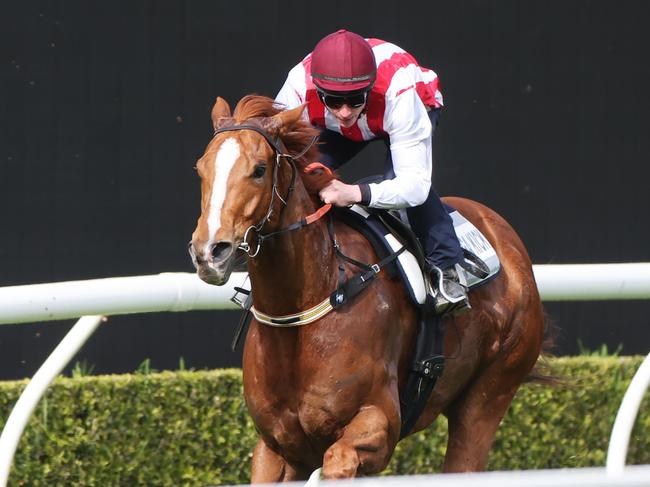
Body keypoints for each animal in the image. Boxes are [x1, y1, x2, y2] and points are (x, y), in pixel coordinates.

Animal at [187, 94, 540, 480]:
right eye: (201, 169)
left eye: (259, 169)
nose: (209, 252)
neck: (301, 309)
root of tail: (505, 236)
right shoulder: (277, 447)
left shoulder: (379, 425)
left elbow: (338, 461)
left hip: (490, 392)